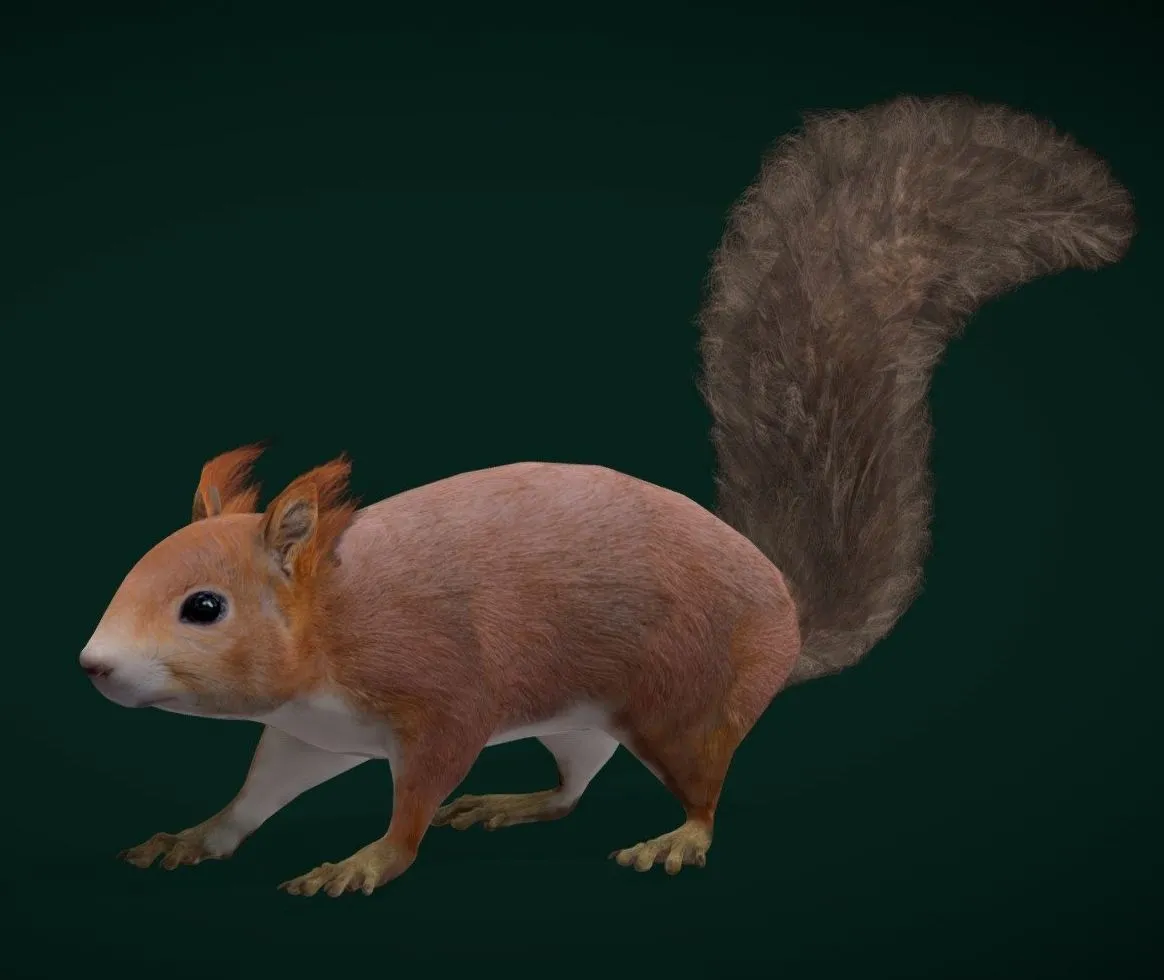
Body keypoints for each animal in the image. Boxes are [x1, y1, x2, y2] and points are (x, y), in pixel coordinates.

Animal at [80, 94, 1135, 896]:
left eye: (203, 607)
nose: (93, 666)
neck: (331, 622)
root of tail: (787, 612)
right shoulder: (310, 734)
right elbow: (259, 793)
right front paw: (197, 836)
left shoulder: (440, 696)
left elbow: (418, 795)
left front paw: (367, 861)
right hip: (583, 723)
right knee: (574, 788)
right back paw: (514, 804)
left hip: (683, 710)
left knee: (703, 792)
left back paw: (677, 839)